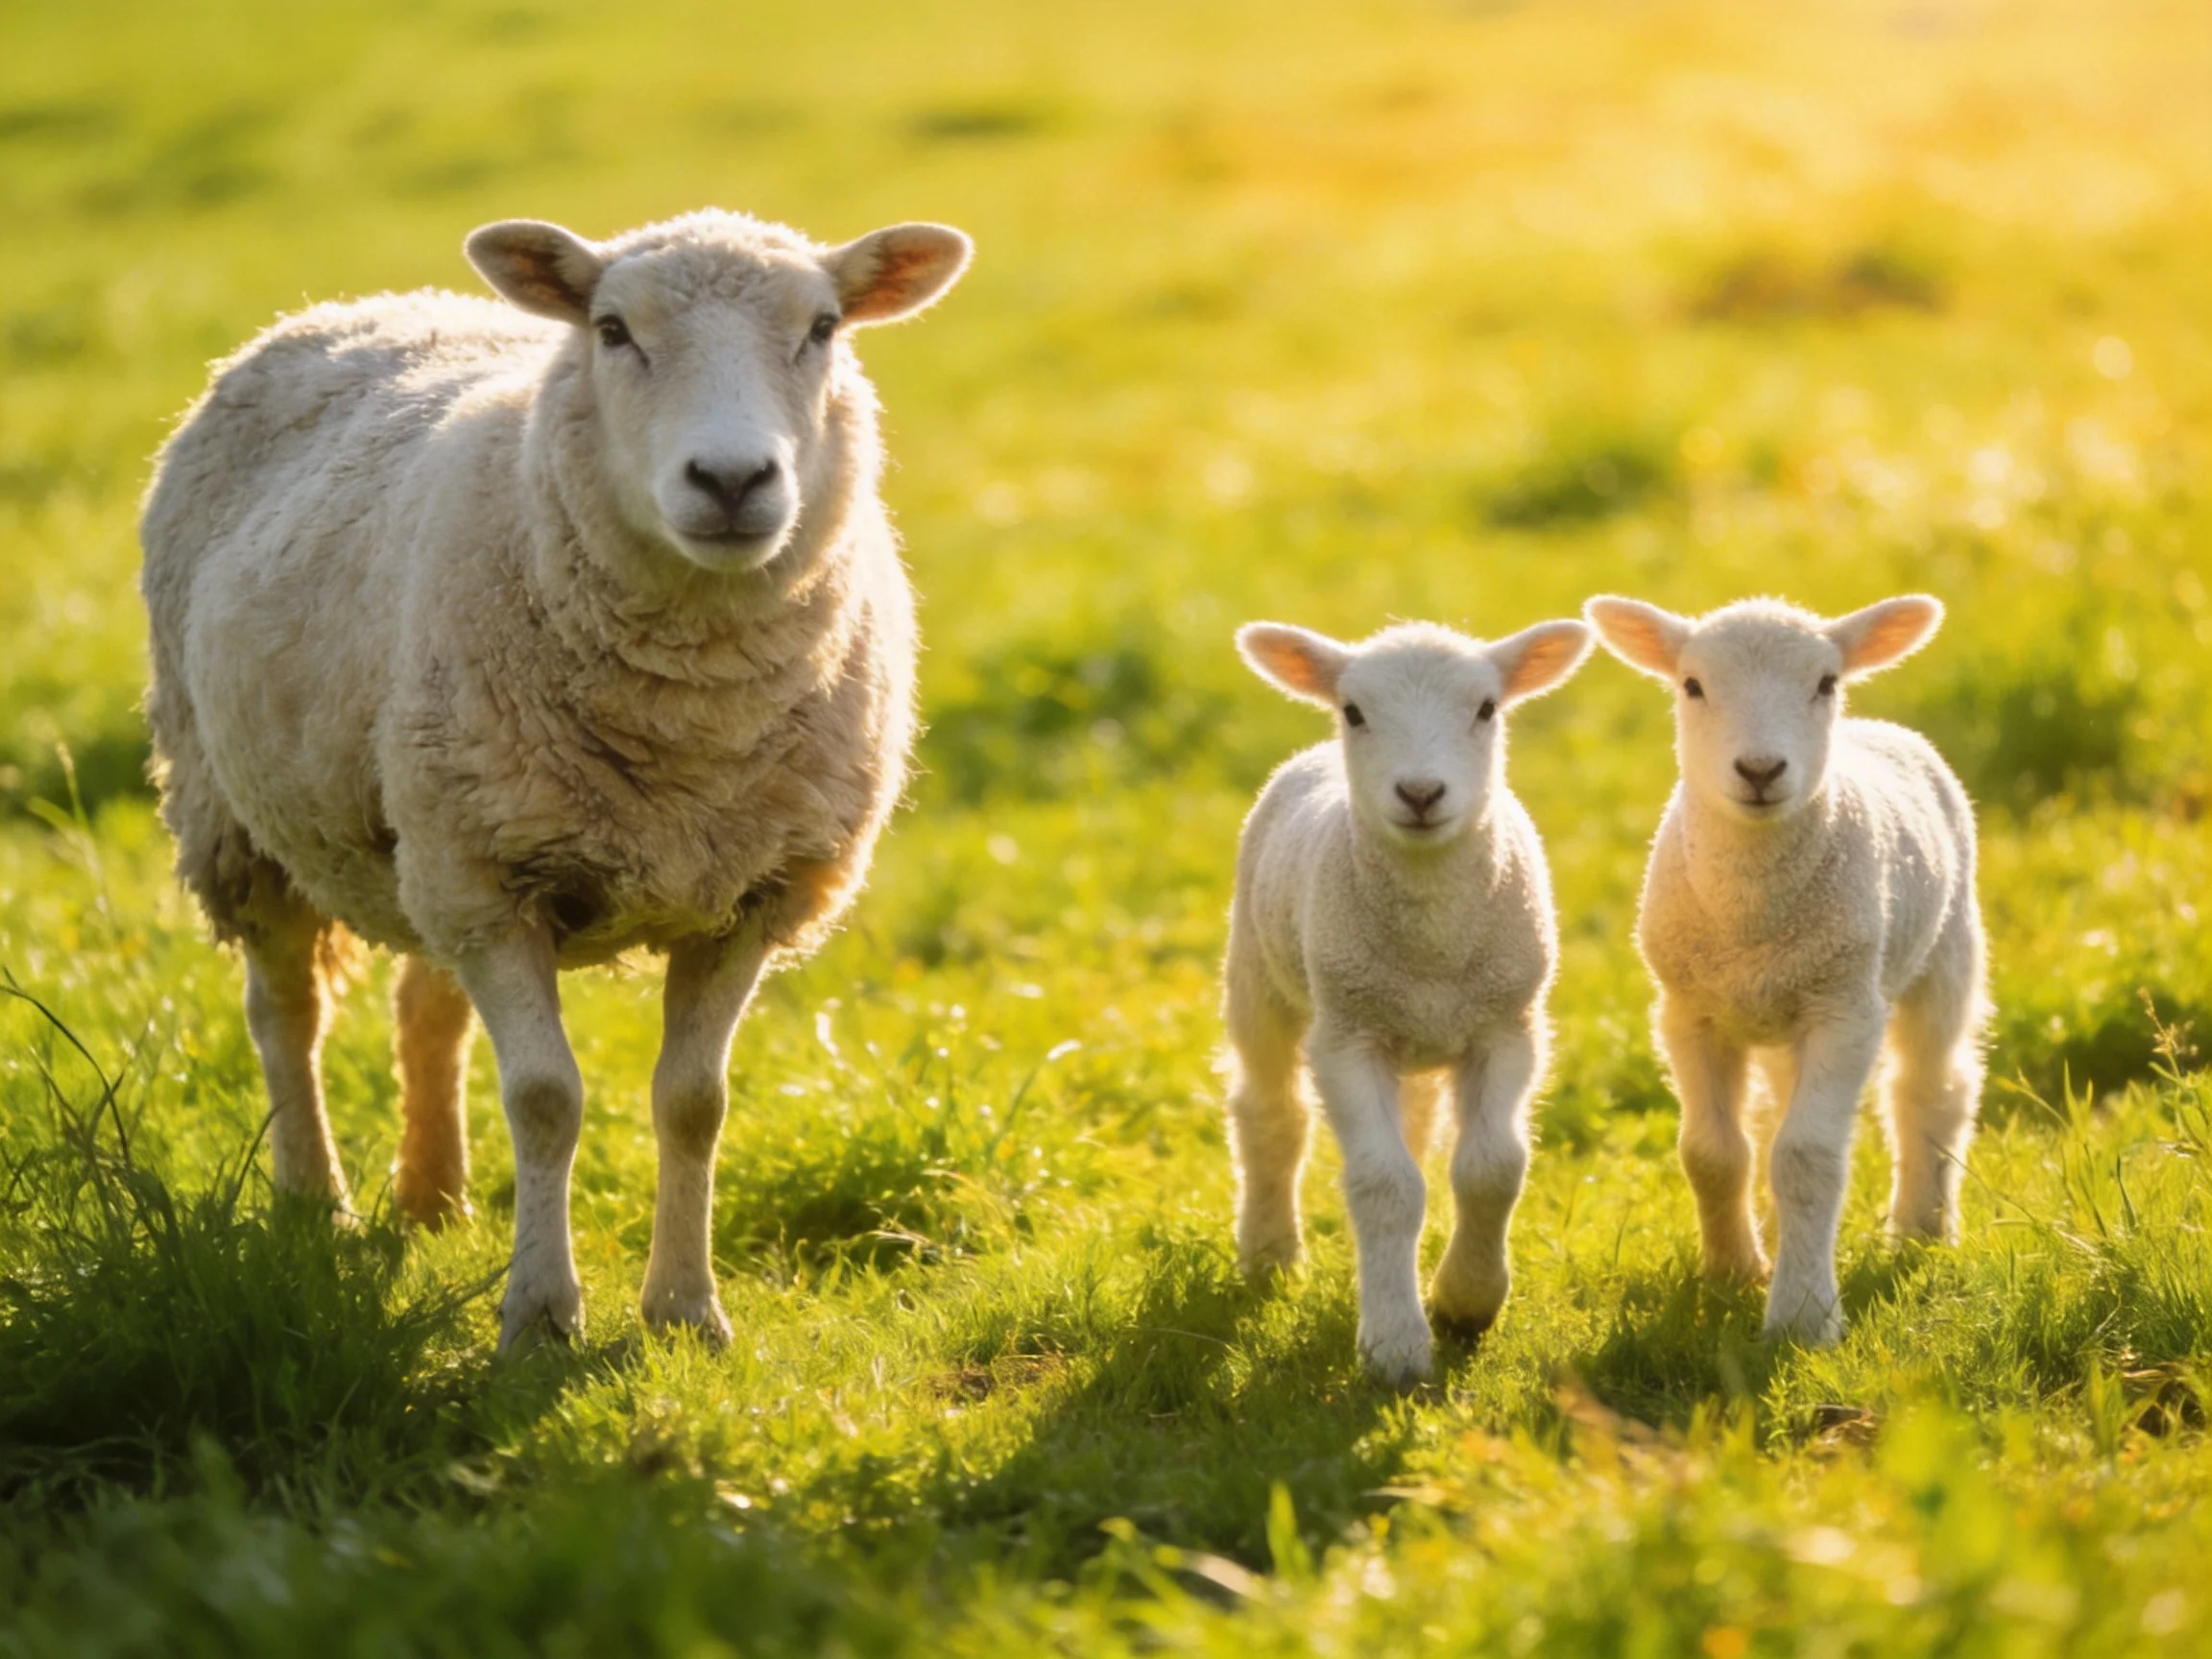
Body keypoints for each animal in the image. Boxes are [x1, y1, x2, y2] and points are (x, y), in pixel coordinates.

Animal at [140, 207, 972, 1351]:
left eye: (824, 328)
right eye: (613, 330)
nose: (731, 482)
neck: (690, 724)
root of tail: (349, 306)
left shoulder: (750, 894)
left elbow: (693, 1102)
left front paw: (686, 1311)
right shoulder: (494, 892)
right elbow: (544, 1098)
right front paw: (540, 1316)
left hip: (433, 829)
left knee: (425, 1004)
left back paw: (434, 1197)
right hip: (241, 819)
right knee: (286, 1014)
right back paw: (317, 1205)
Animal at [1224, 617, 1594, 1384]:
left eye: (1487, 709)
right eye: (1354, 711)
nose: (1421, 793)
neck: (1432, 945)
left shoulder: (1508, 1026)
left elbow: (1491, 1168)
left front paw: (1466, 1301)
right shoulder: (1346, 1037)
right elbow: (1385, 1185)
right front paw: (1394, 1345)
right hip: (1259, 973)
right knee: (1269, 1113)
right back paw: (1270, 1251)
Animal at [1583, 593, 1987, 1346]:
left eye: (1825, 682)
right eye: (1692, 685)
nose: (1761, 770)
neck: (1752, 915)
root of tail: (1877, 729)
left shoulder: (1845, 1008)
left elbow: (1808, 1157)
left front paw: (1803, 1314)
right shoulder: (1687, 1010)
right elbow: (1712, 1152)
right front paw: (1732, 1273)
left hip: (1944, 950)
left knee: (1931, 1088)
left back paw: (1921, 1231)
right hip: (1779, 1005)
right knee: (1775, 1115)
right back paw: (1776, 1234)